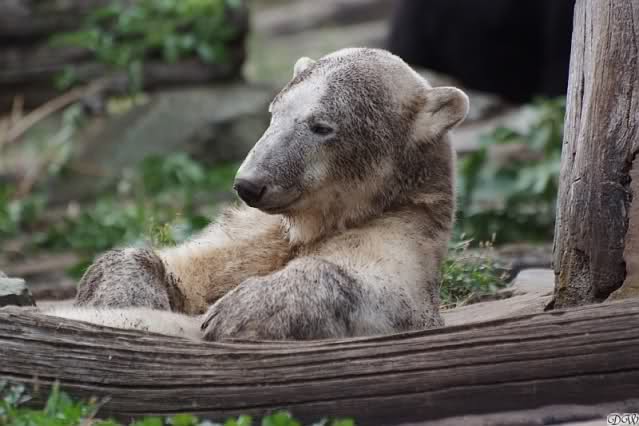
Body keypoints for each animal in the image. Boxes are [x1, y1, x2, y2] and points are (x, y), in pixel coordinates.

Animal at [45, 48, 469, 341]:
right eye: (274, 113)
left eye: (321, 126)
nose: (249, 183)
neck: (315, 223)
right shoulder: (254, 236)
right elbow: (183, 270)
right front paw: (124, 292)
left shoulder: (405, 241)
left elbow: (368, 287)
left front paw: (238, 311)